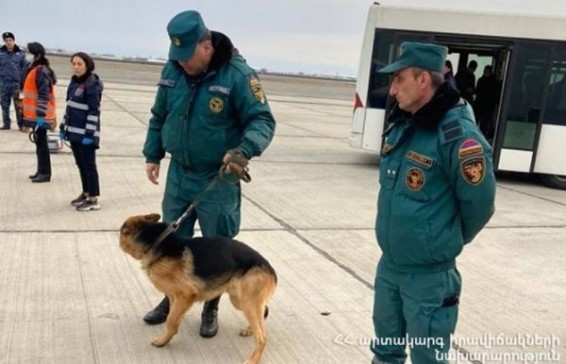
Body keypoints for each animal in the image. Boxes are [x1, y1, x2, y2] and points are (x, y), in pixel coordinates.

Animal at [120, 213, 280, 364]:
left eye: (122, 231)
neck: (157, 240)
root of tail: (271, 269)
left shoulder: (185, 296)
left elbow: (171, 321)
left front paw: (163, 341)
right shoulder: (174, 298)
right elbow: (172, 317)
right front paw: (166, 337)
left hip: (247, 303)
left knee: (262, 337)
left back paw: (253, 359)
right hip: (240, 301)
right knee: (264, 311)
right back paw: (250, 330)